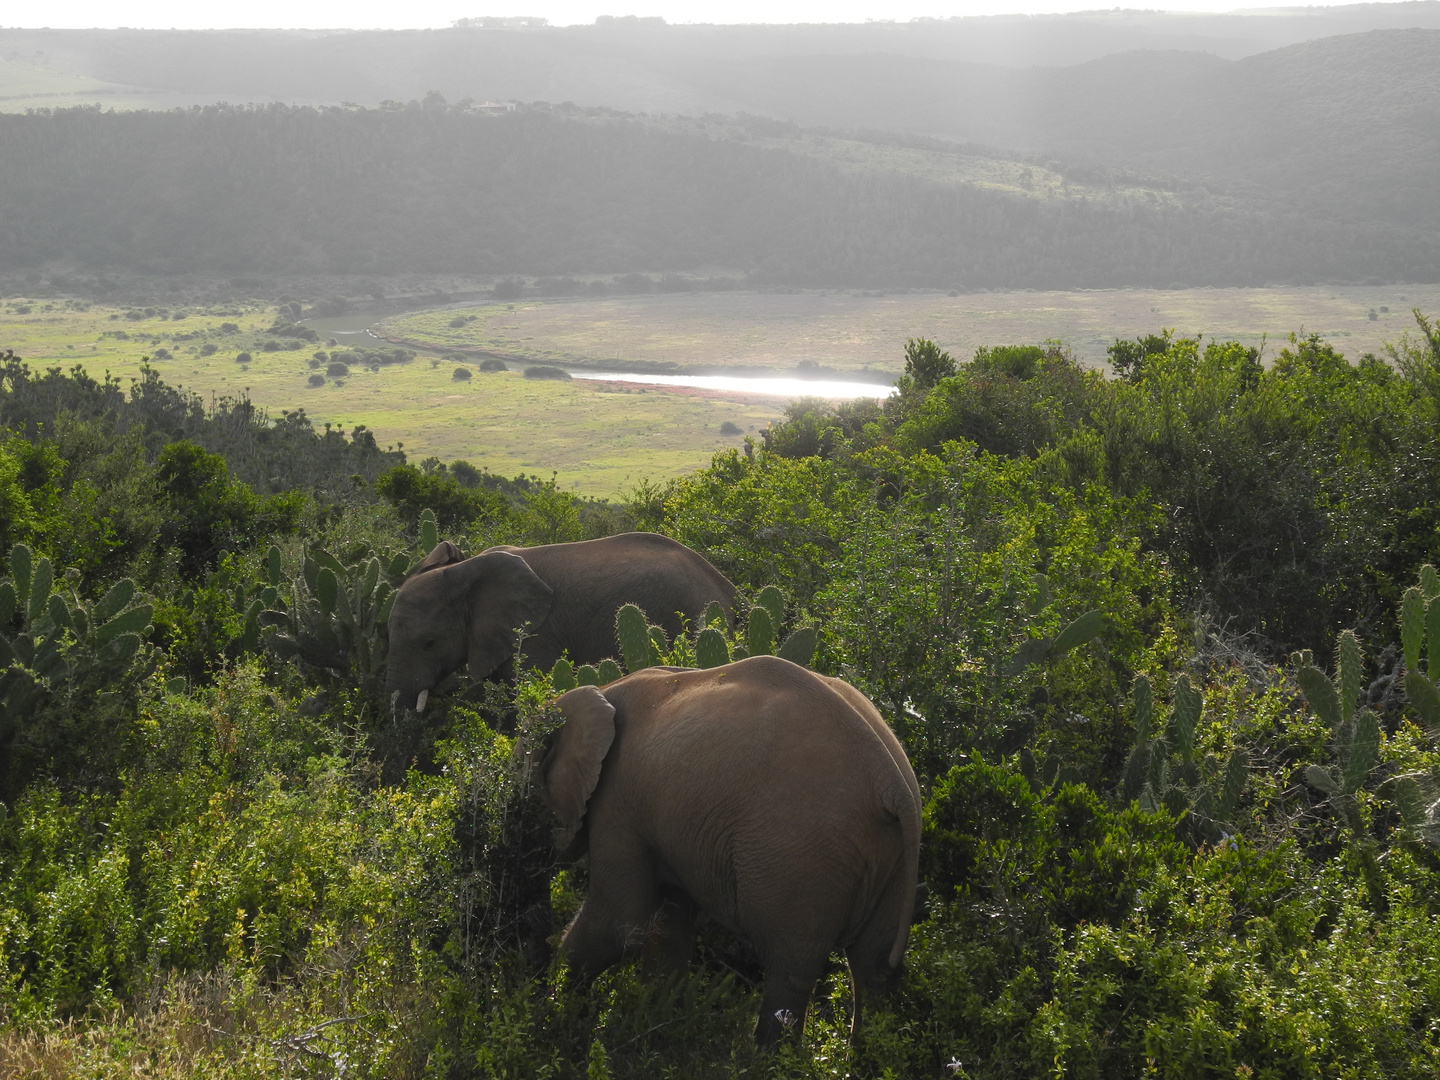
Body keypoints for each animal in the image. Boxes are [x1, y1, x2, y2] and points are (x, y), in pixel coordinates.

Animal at [535, 659, 915, 1048]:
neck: (597, 692)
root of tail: (891, 782)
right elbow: (669, 924)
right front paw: (658, 1026)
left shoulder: (617, 802)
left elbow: (618, 923)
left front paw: (551, 1017)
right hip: (889, 859)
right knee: (873, 964)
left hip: (801, 855)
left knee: (790, 965)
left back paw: (766, 1056)